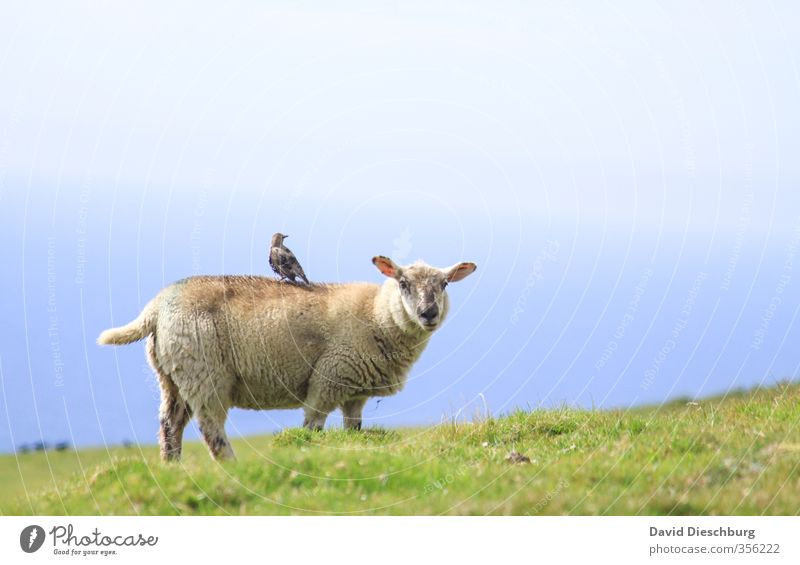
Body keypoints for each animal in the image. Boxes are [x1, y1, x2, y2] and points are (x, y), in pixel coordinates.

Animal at [97, 253, 478, 460]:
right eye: (402, 283)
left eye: (444, 285)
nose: (429, 313)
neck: (376, 315)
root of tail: (156, 307)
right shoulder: (328, 379)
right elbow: (312, 427)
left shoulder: (354, 392)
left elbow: (353, 429)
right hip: (205, 372)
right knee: (211, 428)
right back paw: (231, 465)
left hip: (173, 375)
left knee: (169, 425)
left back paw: (171, 467)